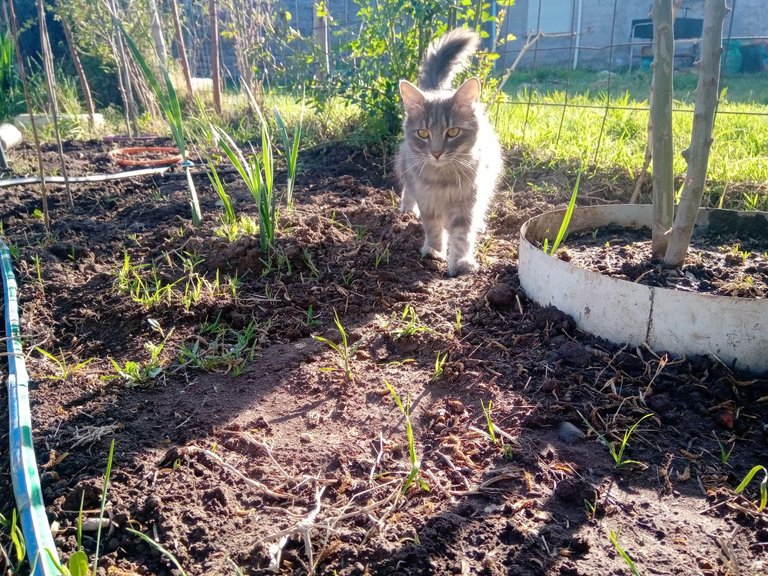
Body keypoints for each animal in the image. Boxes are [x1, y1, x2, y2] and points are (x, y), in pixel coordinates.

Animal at [396, 28, 504, 276]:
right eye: (423, 133)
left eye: (453, 132)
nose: (436, 153)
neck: (443, 180)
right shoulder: (427, 199)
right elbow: (433, 227)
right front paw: (434, 251)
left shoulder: (469, 200)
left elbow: (462, 234)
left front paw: (461, 262)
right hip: (407, 167)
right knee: (407, 189)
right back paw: (407, 210)